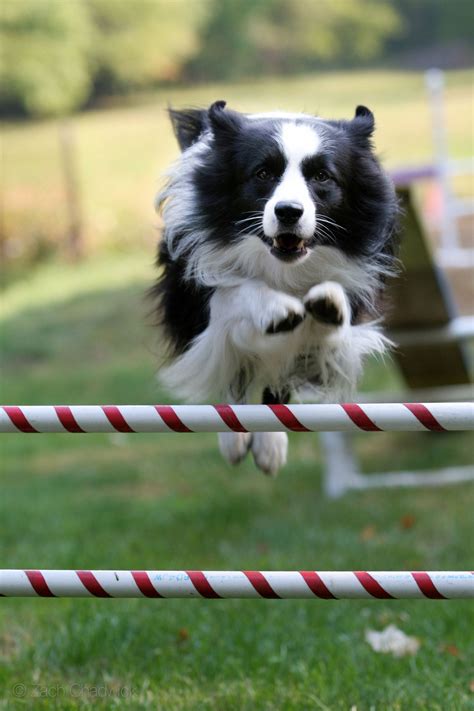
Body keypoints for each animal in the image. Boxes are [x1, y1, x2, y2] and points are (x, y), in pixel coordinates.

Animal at [151, 101, 396, 472]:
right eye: (263, 173)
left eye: (322, 176)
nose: (288, 212)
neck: (281, 267)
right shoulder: (195, 286)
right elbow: (234, 294)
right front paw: (275, 307)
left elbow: (325, 328)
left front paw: (329, 305)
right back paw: (237, 438)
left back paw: (268, 444)